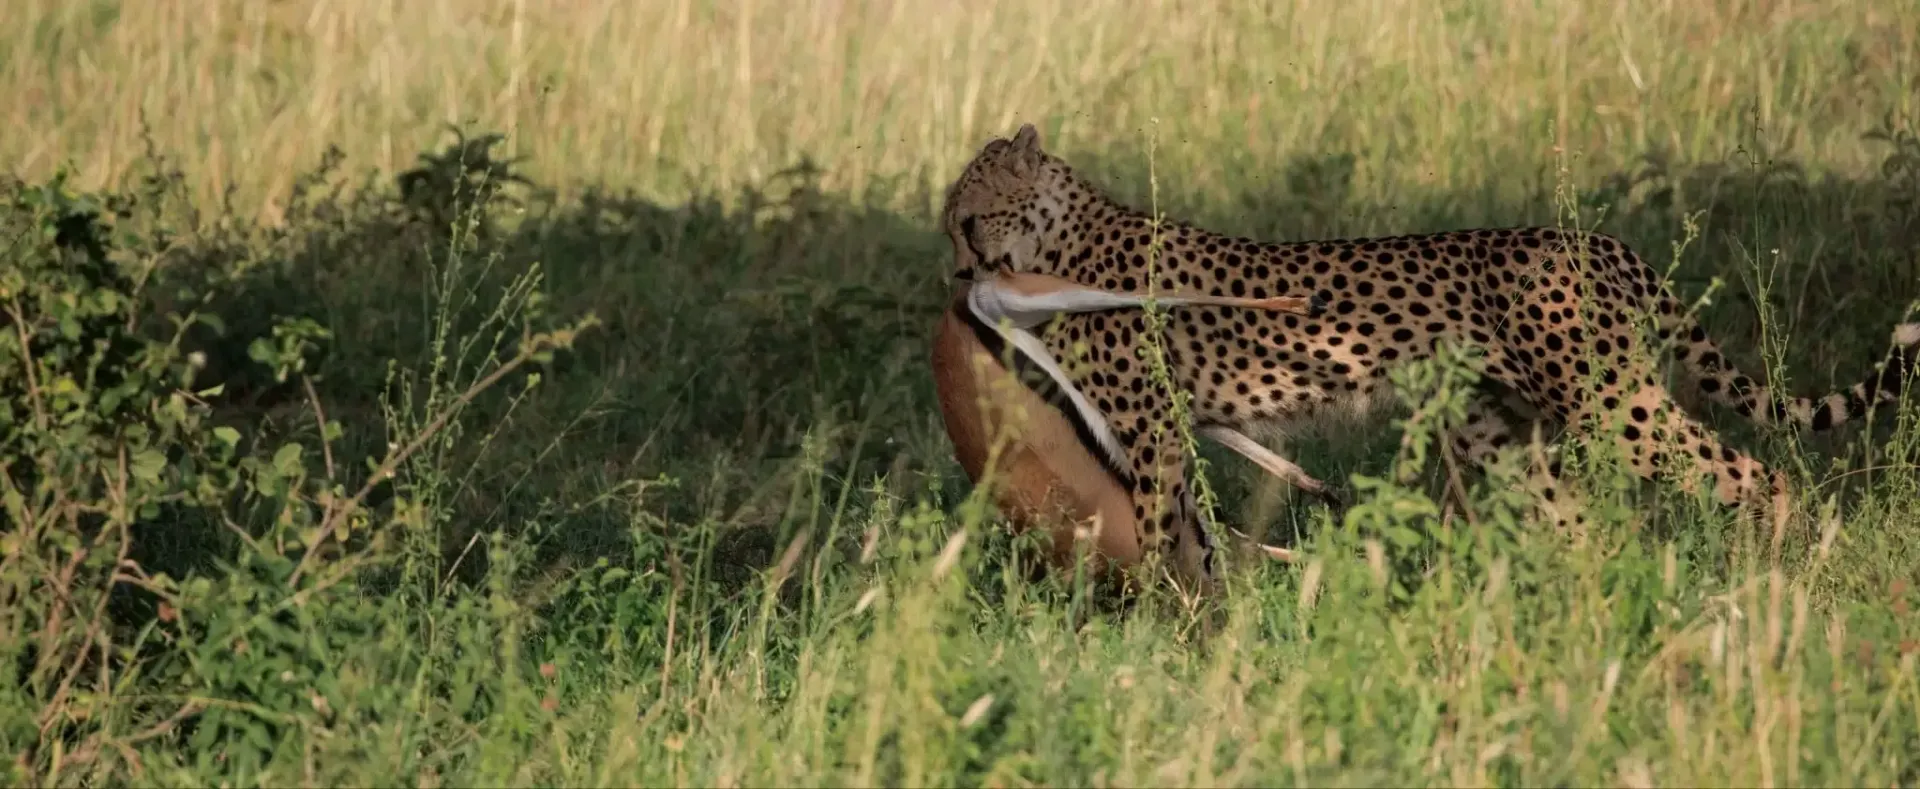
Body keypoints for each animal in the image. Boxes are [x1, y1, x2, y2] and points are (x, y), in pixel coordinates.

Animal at [939, 122, 1920, 585]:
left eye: (969, 217)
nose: (958, 271)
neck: (1059, 239)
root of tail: (1597, 239)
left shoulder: (1151, 431)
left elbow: (1159, 534)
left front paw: (1156, 629)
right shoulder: (1171, 433)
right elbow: (1194, 538)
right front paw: (1203, 624)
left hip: (1613, 404)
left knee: (1755, 471)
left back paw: (1782, 580)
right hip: (1499, 432)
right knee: (1585, 525)